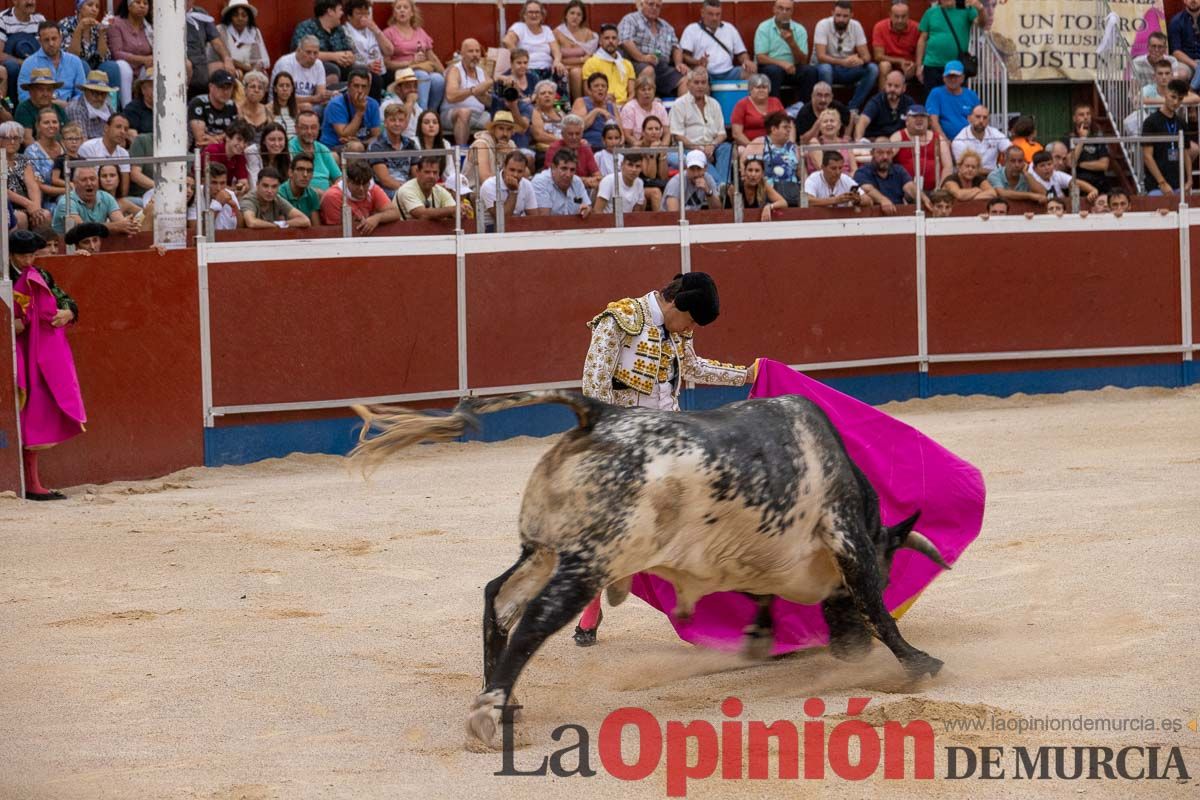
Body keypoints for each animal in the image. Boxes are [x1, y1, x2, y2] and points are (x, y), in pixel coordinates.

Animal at [350, 391, 950, 748]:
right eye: (891, 570)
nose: (850, 651)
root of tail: (600, 413)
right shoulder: (847, 535)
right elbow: (876, 605)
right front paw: (921, 663)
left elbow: (761, 596)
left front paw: (757, 641)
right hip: (589, 561)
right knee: (537, 618)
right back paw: (489, 715)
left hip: (543, 551)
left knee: (500, 598)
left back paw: (505, 705)